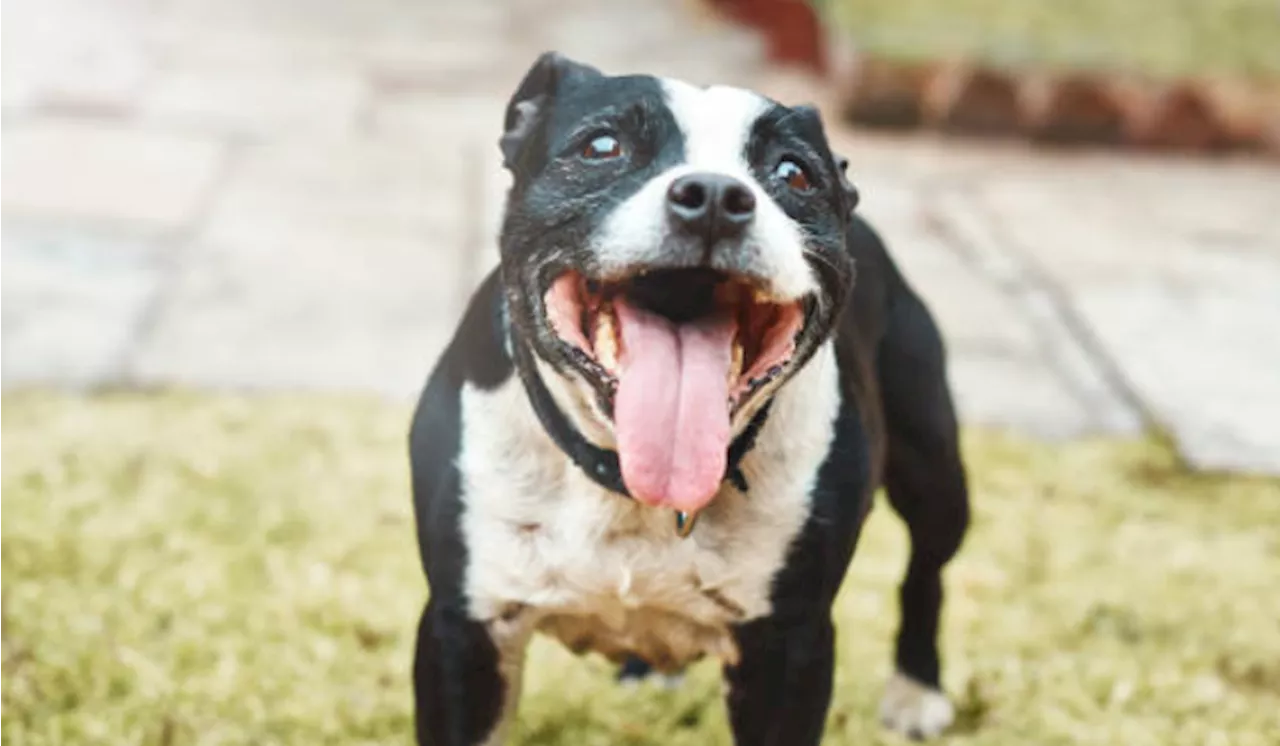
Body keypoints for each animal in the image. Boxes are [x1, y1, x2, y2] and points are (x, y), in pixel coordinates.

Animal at [409, 49, 967, 742]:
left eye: (794, 173)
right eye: (601, 145)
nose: (715, 197)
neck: (619, 475)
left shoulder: (791, 650)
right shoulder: (463, 634)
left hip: (935, 472)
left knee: (926, 570)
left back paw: (917, 687)